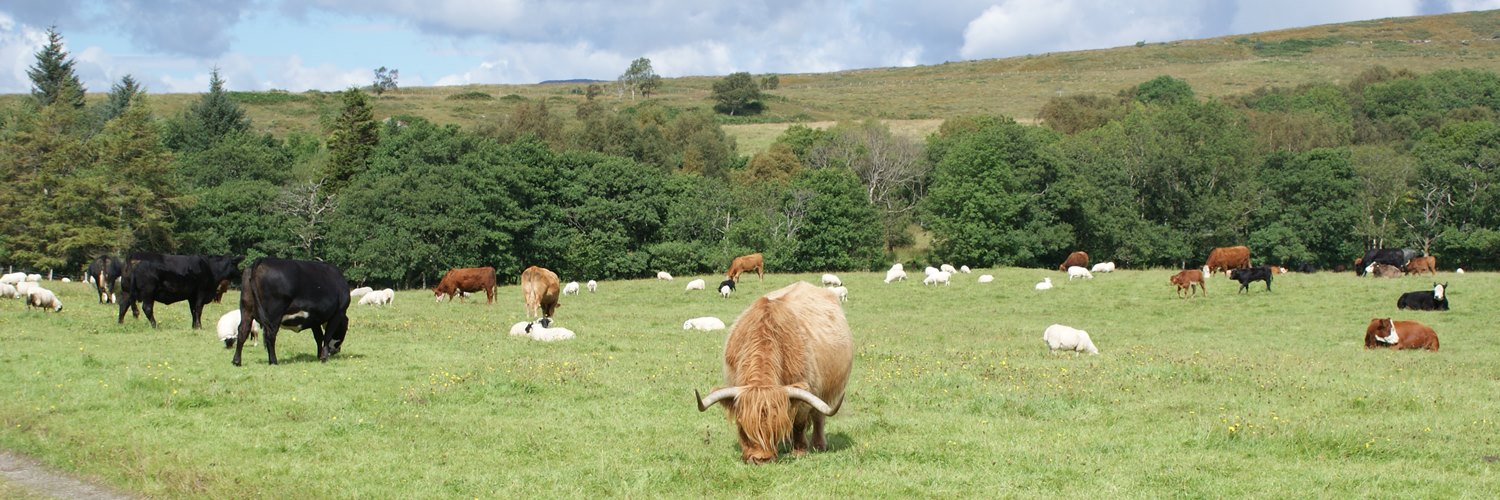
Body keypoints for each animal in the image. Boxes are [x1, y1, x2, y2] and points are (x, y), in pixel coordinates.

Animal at [695, 282, 852, 464]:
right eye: (742, 426)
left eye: (775, 426)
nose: (760, 459)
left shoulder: (806, 393)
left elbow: (799, 424)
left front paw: (799, 451)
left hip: (827, 392)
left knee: (819, 416)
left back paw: (818, 445)